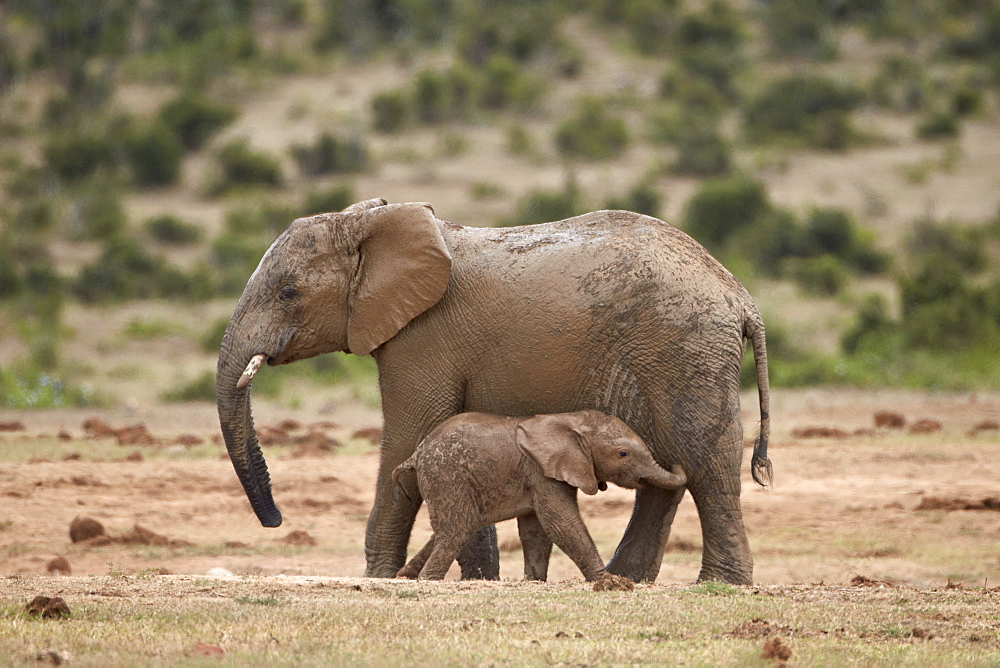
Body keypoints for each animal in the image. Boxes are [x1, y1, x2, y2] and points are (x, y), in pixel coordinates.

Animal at [392, 408, 688, 584]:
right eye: (623, 454)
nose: (677, 461)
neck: (571, 420)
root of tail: (417, 453)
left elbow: (536, 529)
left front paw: (533, 581)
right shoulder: (542, 471)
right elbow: (560, 522)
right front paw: (609, 582)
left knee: (458, 525)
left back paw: (404, 576)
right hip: (446, 474)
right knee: (458, 527)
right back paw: (427, 579)